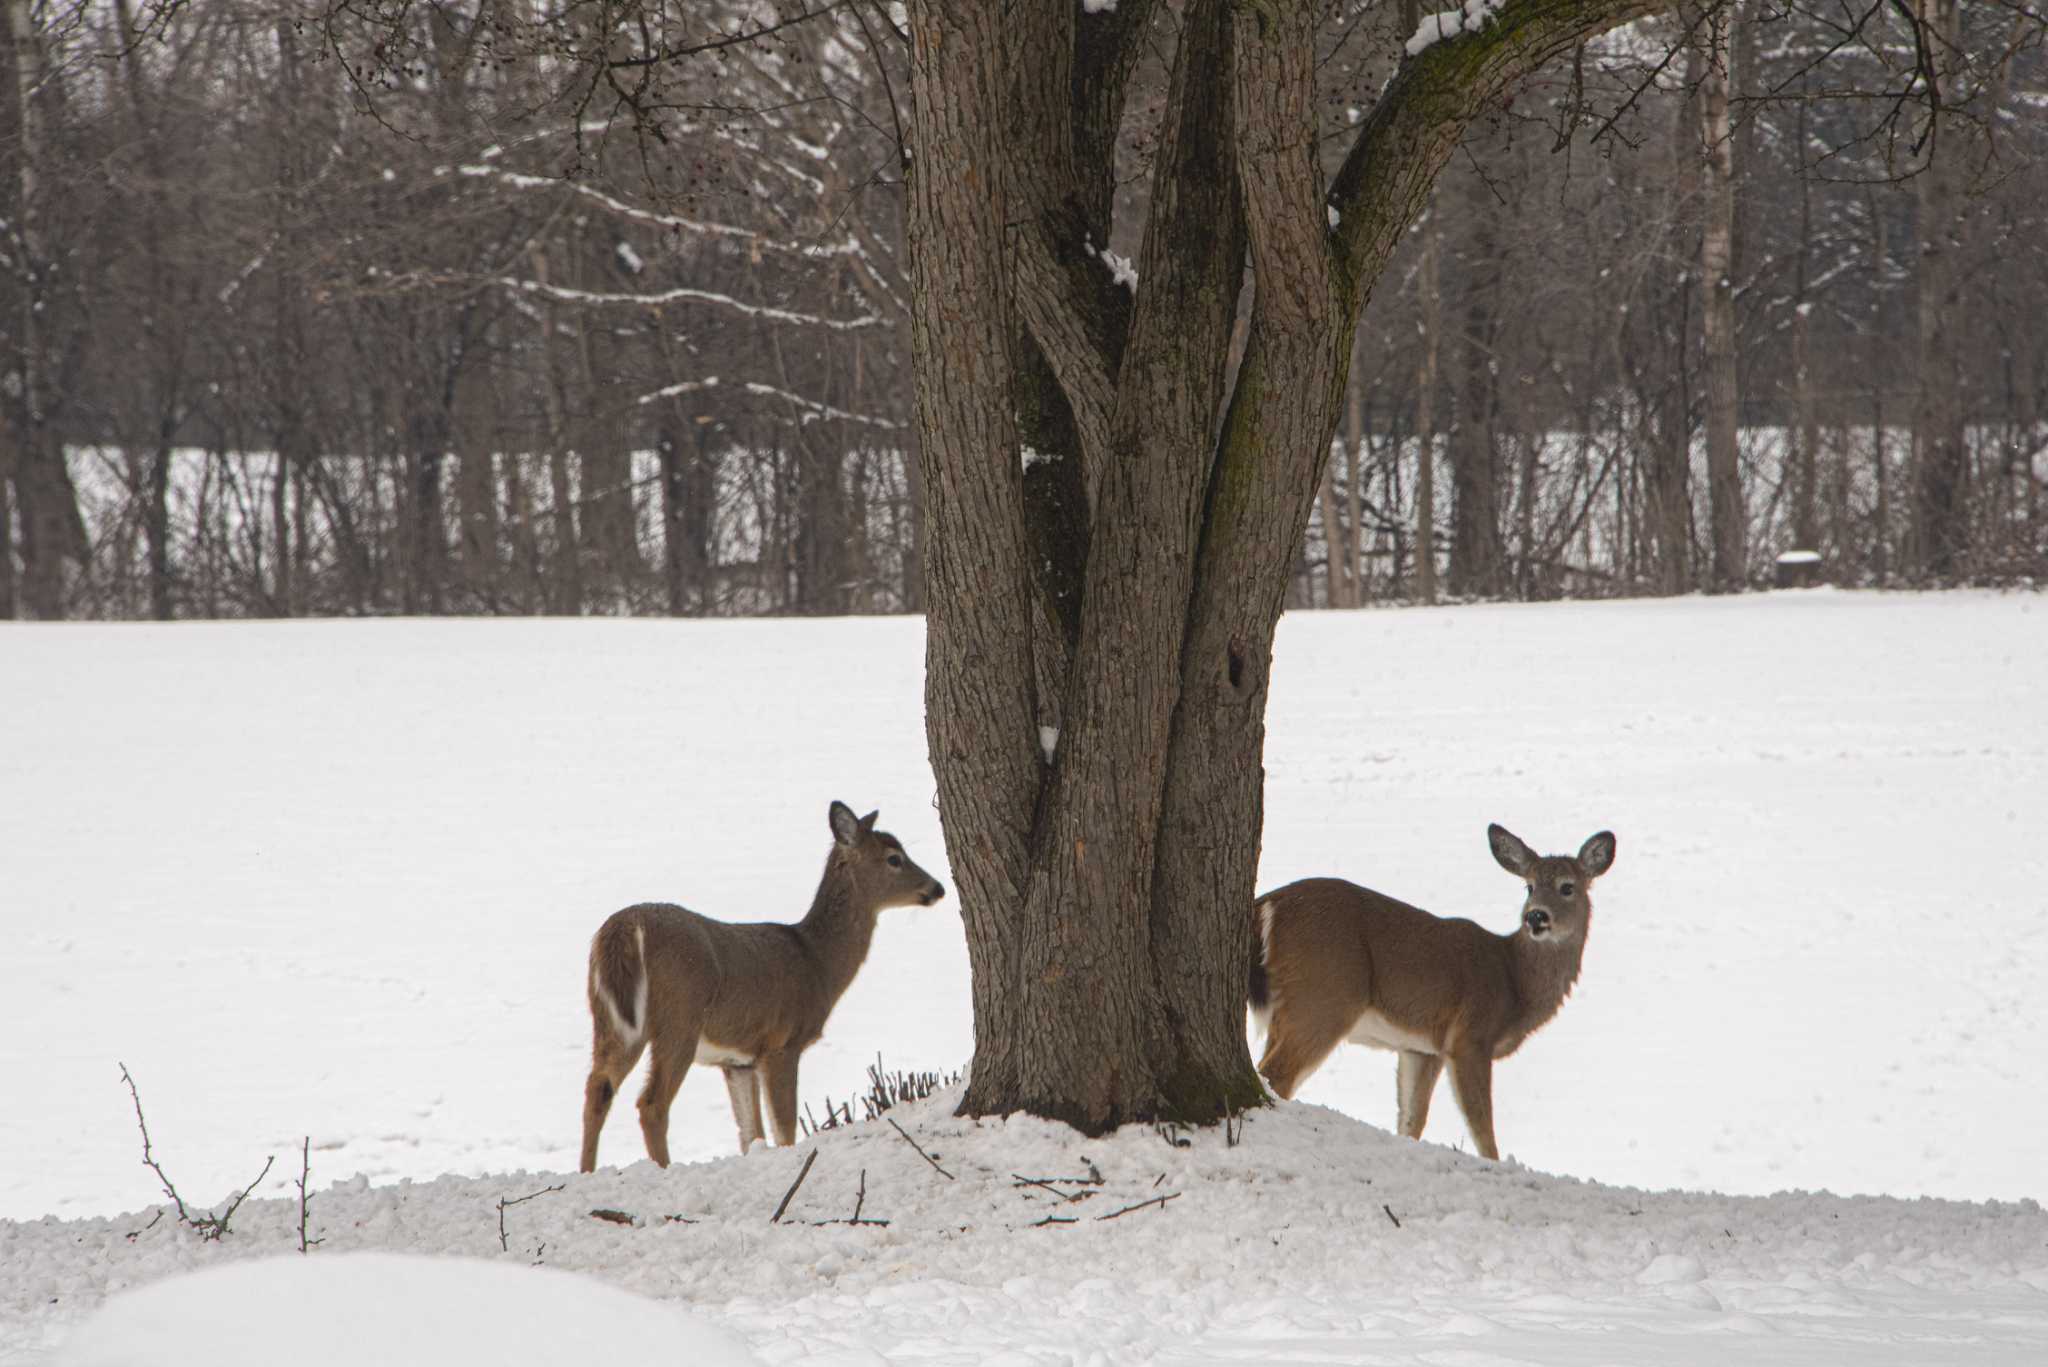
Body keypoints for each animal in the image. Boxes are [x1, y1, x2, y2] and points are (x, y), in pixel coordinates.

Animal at [578, 800, 946, 1172]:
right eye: (894, 858)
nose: (938, 888)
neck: (817, 961)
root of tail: (625, 927)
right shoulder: (782, 1043)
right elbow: (783, 1129)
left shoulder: (738, 1061)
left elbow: (750, 1133)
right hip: (679, 1016)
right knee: (651, 1103)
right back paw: (662, 1169)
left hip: (610, 1017)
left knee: (598, 1087)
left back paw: (586, 1171)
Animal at [1248, 824, 1616, 1161]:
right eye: (1529, 886)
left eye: (1567, 887)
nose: (1536, 917)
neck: (1514, 982)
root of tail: (1268, 903)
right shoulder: (1470, 1036)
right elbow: (1482, 1127)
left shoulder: (1422, 1048)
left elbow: (1412, 1118)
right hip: (1325, 996)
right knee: (1276, 1073)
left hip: (1289, 1008)